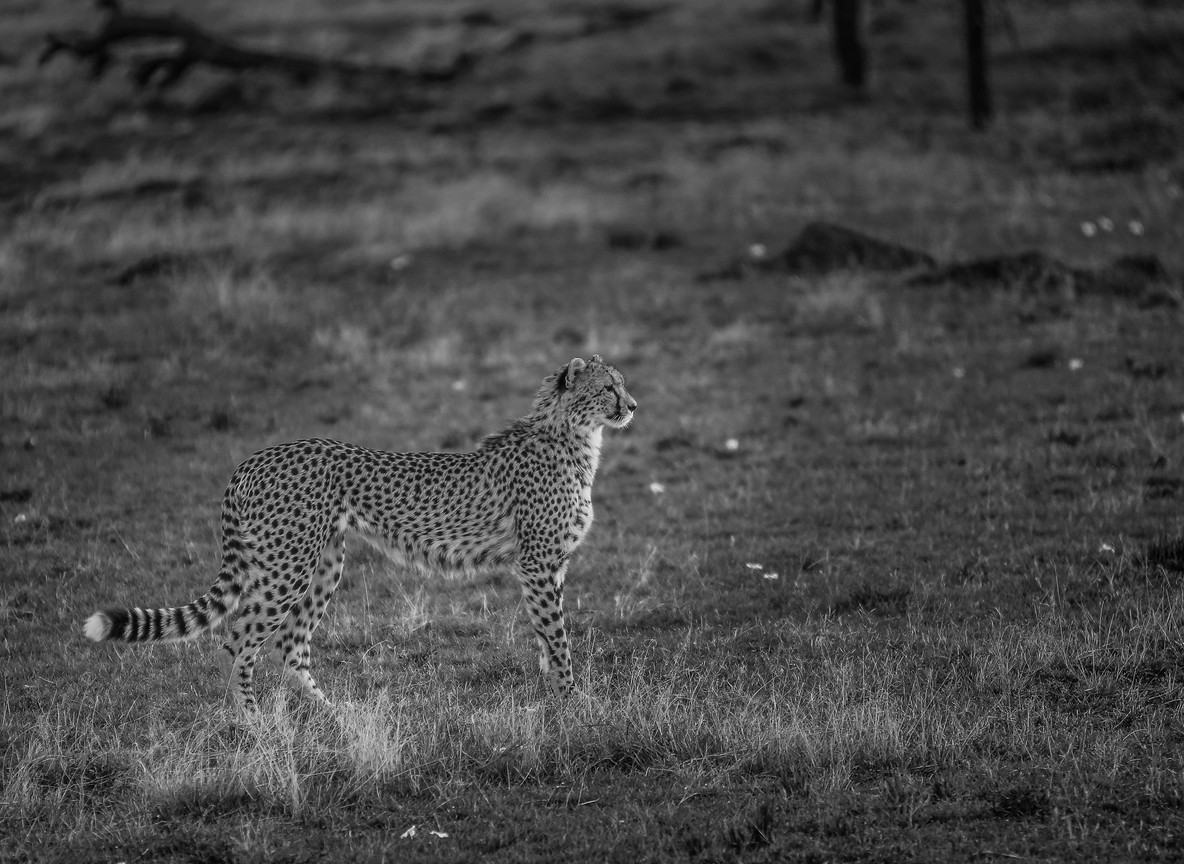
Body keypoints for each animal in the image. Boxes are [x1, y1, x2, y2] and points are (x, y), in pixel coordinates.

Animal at [83, 355, 636, 716]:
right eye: (608, 388)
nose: (632, 405)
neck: (572, 436)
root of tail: (253, 458)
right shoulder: (539, 564)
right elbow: (558, 637)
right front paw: (574, 701)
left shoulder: (547, 567)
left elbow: (545, 635)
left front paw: (555, 694)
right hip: (288, 566)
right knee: (239, 636)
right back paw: (252, 722)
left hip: (323, 562)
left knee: (290, 642)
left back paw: (331, 712)